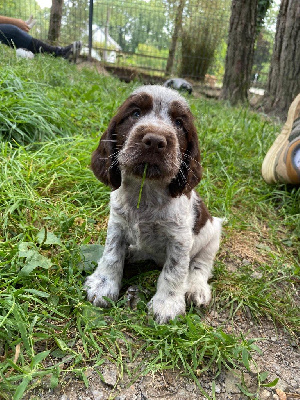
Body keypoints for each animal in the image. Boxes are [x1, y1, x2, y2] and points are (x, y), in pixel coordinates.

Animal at [85, 85, 223, 324]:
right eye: (135, 113)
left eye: (179, 123)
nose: (155, 141)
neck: (146, 191)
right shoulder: (117, 225)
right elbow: (111, 254)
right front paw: (103, 285)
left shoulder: (180, 239)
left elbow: (174, 271)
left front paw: (166, 305)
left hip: (213, 234)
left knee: (200, 265)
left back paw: (196, 288)